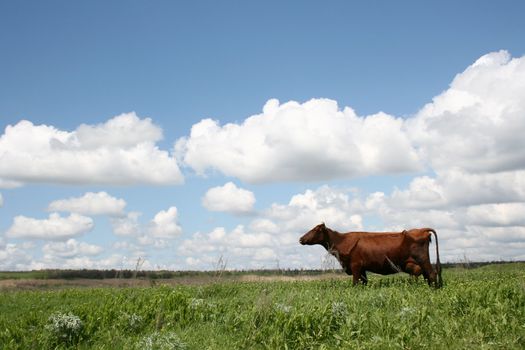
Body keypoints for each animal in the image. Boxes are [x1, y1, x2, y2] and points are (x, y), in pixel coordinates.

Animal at [298, 223, 442, 288]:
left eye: (315, 229)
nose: (300, 239)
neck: (342, 241)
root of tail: (422, 229)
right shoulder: (362, 269)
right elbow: (364, 282)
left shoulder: (355, 266)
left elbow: (355, 283)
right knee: (428, 275)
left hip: (422, 259)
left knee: (432, 274)